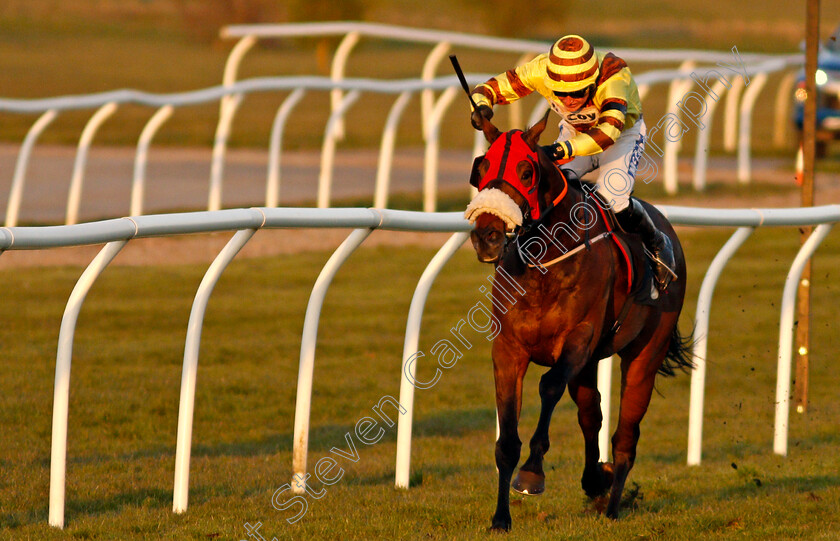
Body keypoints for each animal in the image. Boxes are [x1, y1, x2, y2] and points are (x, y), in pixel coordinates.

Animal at [462, 110, 692, 532]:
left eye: (526, 171)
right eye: (481, 167)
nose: (487, 235)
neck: (544, 263)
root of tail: (668, 230)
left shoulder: (578, 340)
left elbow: (549, 386)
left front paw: (533, 473)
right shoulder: (508, 350)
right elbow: (507, 441)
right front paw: (501, 516)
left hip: (645, 355)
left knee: (625, 435)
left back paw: (613, 504)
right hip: (589, 367)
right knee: (591, 413)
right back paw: (594, 479)